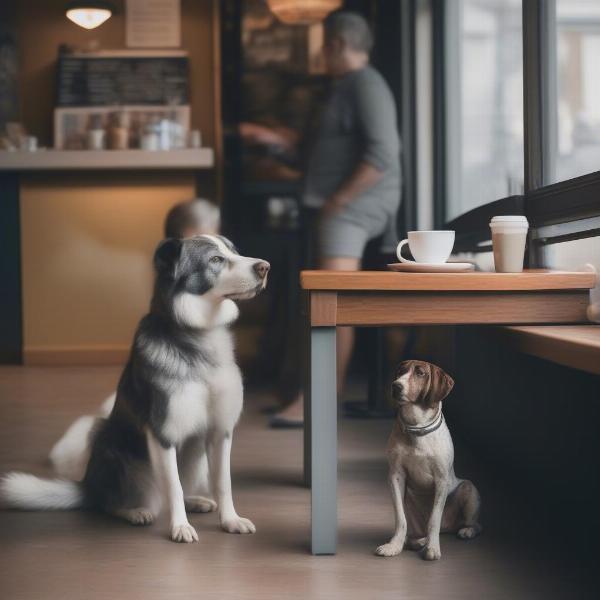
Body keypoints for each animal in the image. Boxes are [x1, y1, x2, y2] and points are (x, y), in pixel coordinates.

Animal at [1, 234, 270, 544]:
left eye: (235, 251)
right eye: (216, 259)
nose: (265, 267)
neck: (198, 337)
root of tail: (87, 486)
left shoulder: (220, 432)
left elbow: (223, 482)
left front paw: (230, 520)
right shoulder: (162, 434)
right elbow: (173, 486)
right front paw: (180, 526)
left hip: (196, 455)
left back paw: (195, 501)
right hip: (106, 440)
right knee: (111, 502)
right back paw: (134, 511)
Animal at [378, 360, 480, 564]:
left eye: (420, 373)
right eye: (401, 371)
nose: (396, 385)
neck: (417, 428)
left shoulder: (441, 480)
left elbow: (434, 519)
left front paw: (433, 548)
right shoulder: (395, 476)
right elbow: (400, 519)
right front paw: (394, 545)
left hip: (468, 488)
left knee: (473, 524)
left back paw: (465, 531)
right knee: (420, 530)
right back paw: (417, 541)